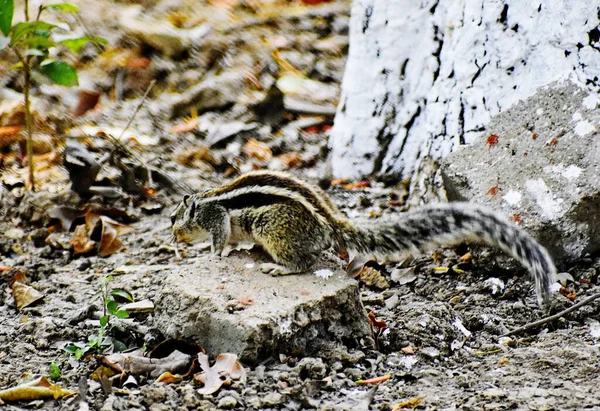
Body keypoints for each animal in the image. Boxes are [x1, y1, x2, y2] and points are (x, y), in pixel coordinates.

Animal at [171, 170, 556, 306]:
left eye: (174, 219)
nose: (174, 240)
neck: (203, 202)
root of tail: (330, 223)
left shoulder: (217, 218)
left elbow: (220, 236)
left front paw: (213, 254)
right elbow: (233, 239)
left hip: (274, 228)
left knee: (302, 262)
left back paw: (279, 268)